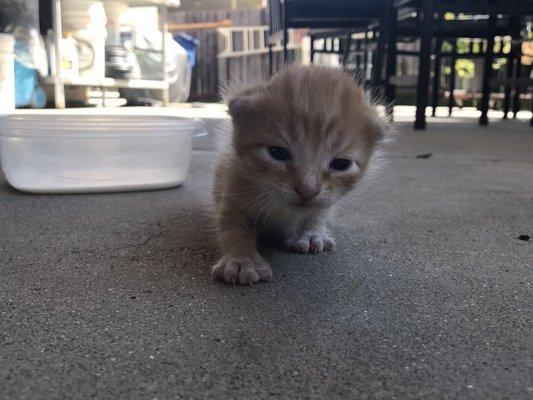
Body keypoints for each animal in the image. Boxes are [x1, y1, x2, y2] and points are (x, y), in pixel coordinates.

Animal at [211, 65, 382, 284]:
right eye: (277, 152)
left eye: (341, 164)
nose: (307, 190)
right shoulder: (231, 189)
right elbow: (232, 229)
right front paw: (242, 260)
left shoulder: (327, 199)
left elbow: (318, 213)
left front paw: (311, 233)